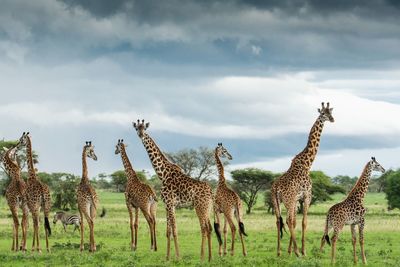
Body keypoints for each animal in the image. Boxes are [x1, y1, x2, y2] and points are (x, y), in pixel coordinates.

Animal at [132, 120, 214, 262]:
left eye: (144, 129)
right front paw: (167, 257)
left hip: (200, 207)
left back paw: (202, 257)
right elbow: (168, 231)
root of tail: (210, 192)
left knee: (204, 228)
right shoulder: (169, 205)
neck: (162, 173)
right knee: (209, 228)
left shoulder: (170, 203)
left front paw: (178, 256)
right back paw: (209, 257)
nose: (140, 134)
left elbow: (175, 230)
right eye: (137, 128)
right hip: (207, 208)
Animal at [270, 102, 332, 258]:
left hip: (276, 201)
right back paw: (298, 252)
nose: (332, 119)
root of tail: (276, 188)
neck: (307, 164)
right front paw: (302, 251)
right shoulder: (307, 196)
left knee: (279, 221)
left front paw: (289, 250)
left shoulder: (298, 199)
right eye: (323, 114)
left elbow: (296, 222)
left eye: (331, 112)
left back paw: (279, 251)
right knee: (287, 220)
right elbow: (303, 222)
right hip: (288, 200)